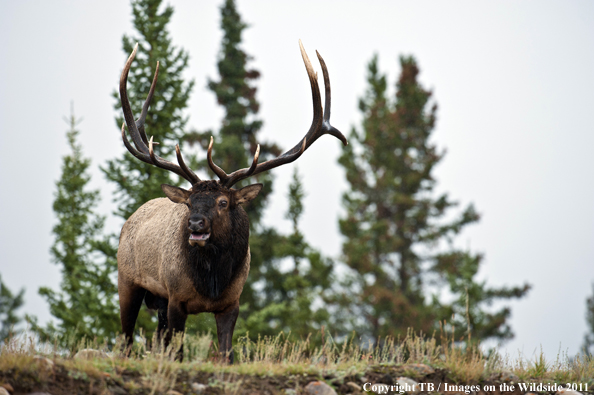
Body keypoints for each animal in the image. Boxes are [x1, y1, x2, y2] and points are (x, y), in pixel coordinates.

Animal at [117, 40, 344, 362]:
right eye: (190, 202)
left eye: (223, 202)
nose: (195, 224)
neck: (212, 283)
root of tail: (130, 219)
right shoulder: (175, 299)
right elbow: (178, 353)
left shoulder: (231, 302)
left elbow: (226, 353)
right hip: (128, 281)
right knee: (125, 338)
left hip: (156, 299)